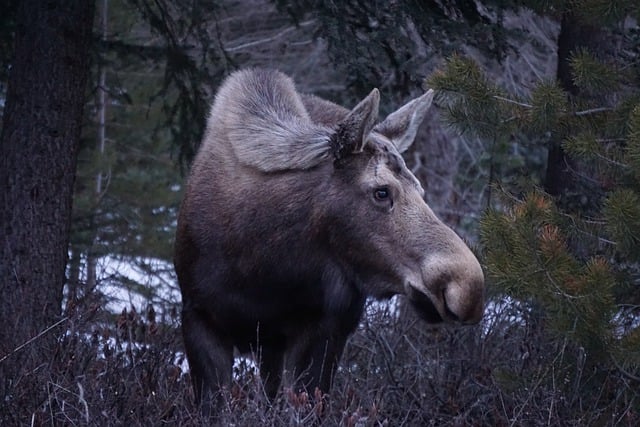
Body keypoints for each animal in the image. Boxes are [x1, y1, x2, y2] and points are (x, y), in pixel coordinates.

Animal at [172, 69, 482, 408]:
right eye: (381, 191)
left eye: (421, 190)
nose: (467, 286)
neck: (258, 267)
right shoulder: (198, 318)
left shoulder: (322, 331)